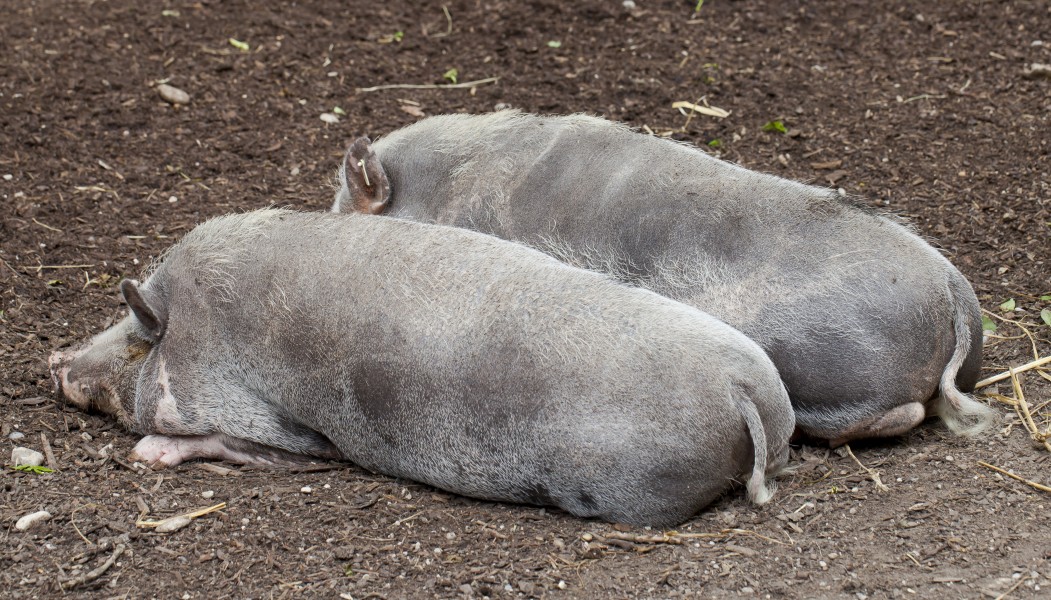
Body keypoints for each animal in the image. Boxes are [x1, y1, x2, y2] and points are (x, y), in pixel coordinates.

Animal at [49, 208, 794, 527]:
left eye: (134, 339)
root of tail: (744, 391)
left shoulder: (292, 430)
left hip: (633, 491)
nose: (54, 361)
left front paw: (146, 453)